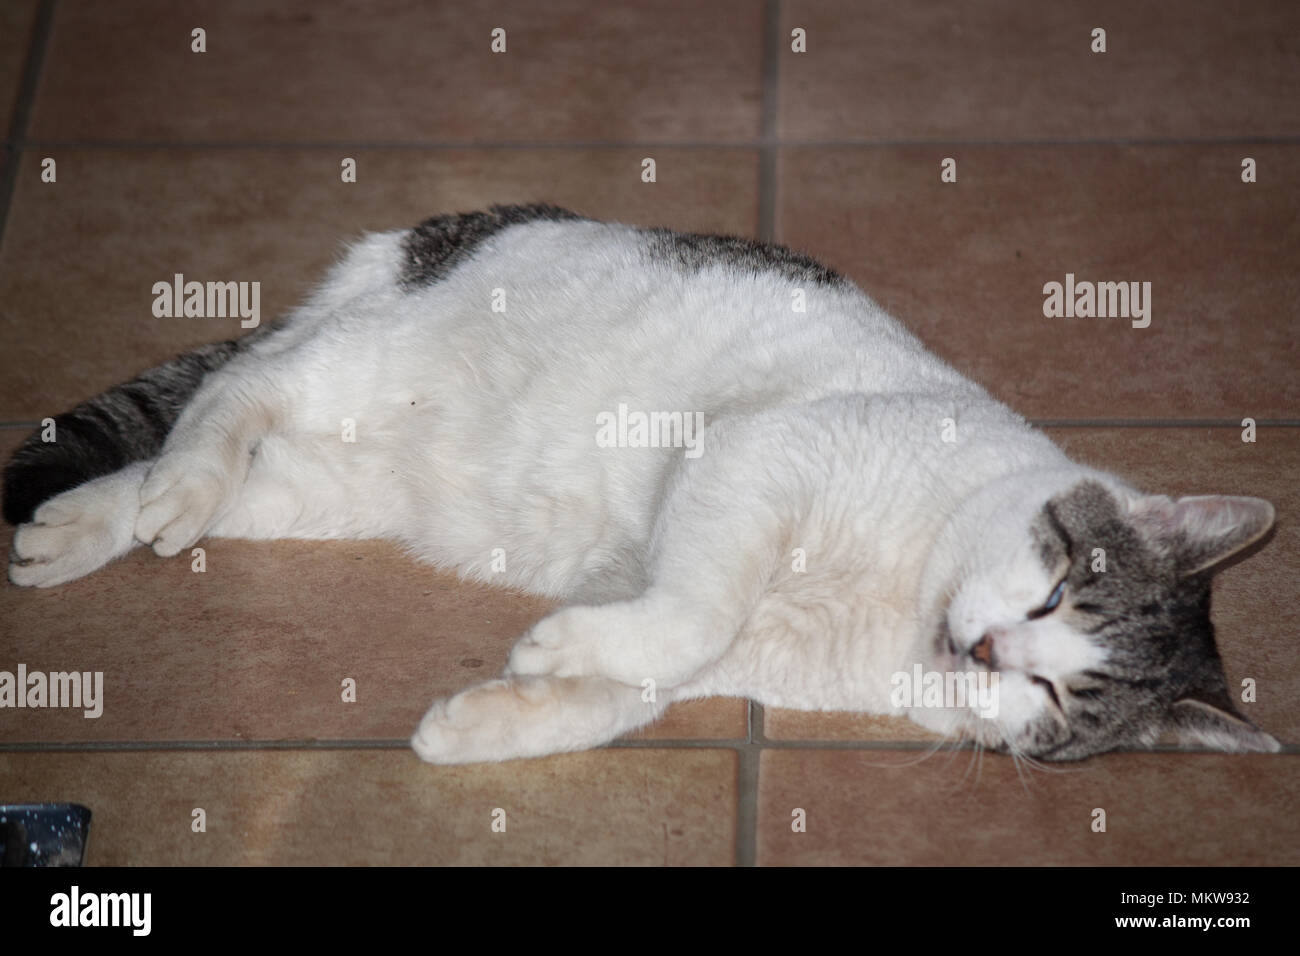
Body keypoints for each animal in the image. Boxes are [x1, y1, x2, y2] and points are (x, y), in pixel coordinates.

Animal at [2, 201, 1279, 764]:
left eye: (1060, 693)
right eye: (1058, 585)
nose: (982, 650)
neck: (900, 596)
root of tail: (411, 242)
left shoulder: (736, 650)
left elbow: (632, 684)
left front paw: (492, 715)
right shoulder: (752, 461)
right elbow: (687, 612)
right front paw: (551, 650)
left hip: (339, 479)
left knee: (201, 459)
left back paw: (82, 525)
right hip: (364, 355)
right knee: (237, 390)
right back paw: (166, 490)